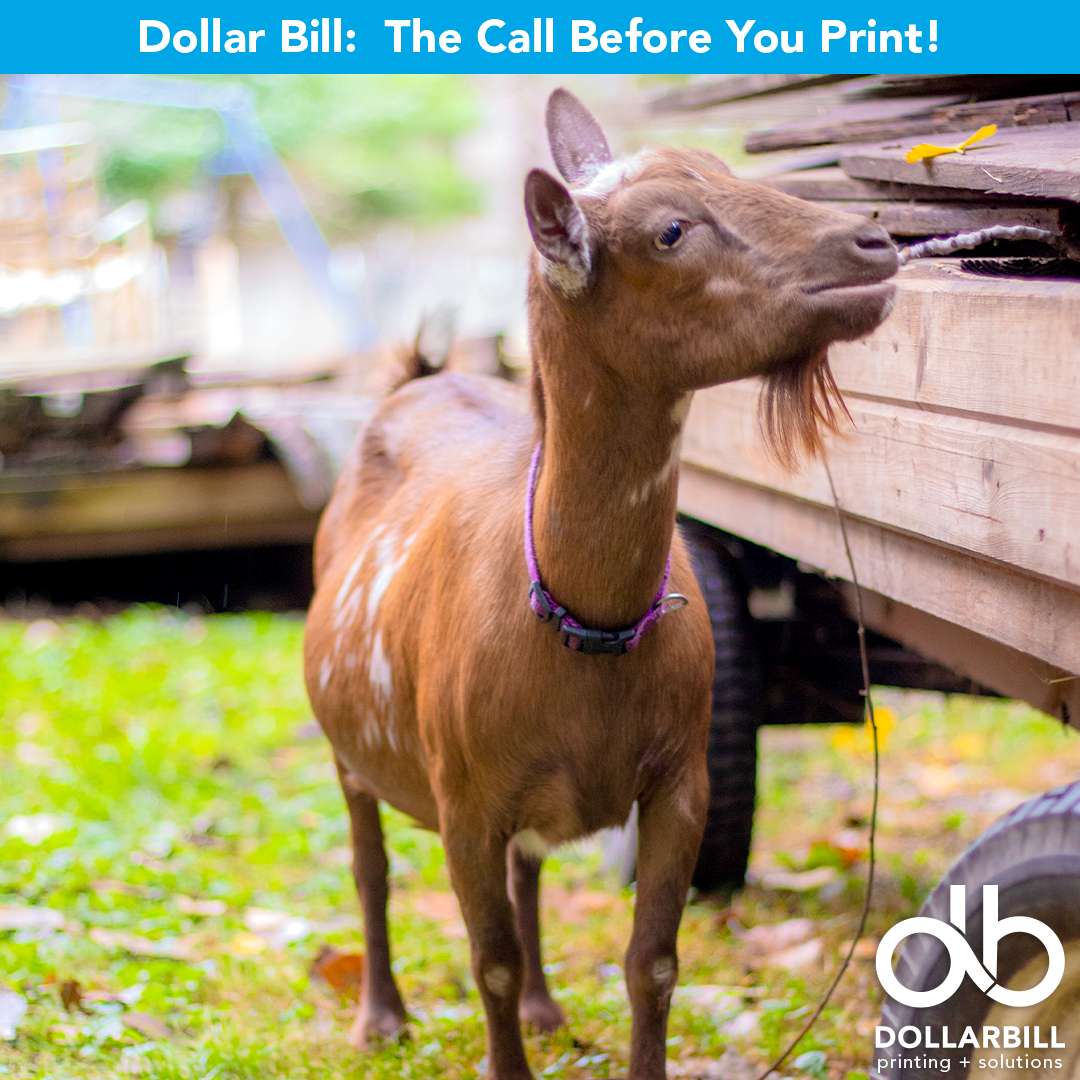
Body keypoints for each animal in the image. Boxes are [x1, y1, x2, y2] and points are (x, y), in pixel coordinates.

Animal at [303, 89, 898, 1080]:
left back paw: (547, 1011)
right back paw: (381, 1017)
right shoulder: (462, 796)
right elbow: (488, 962)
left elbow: (651, 960)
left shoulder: (681, 779)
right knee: (369, 864)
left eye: (724, 170)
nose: (875, 241)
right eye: (670, 230)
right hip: (350, 746)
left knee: (529, 868)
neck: (586, 632)